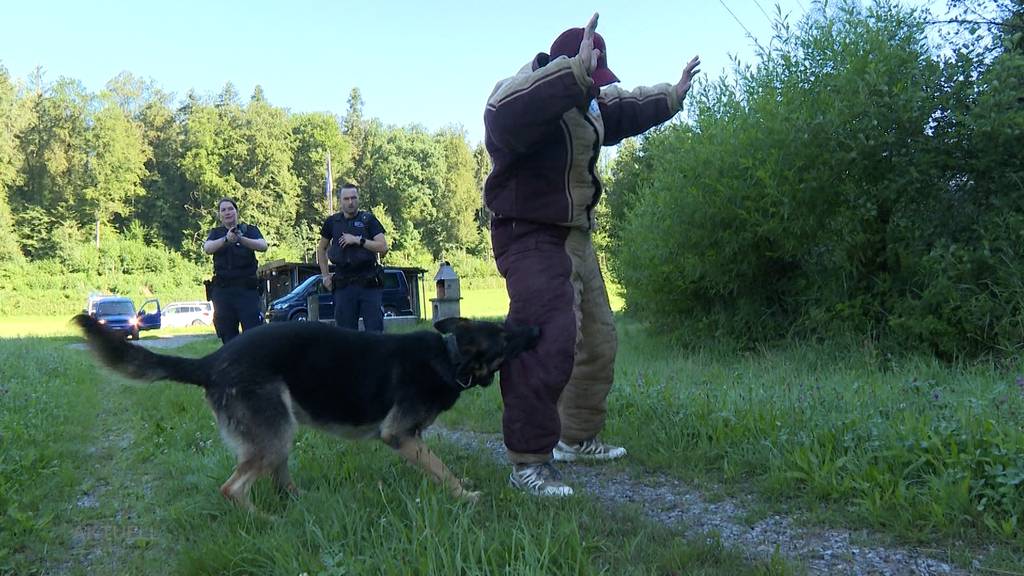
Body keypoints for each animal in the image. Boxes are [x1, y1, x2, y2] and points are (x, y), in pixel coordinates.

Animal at [73, 313, 540, 506]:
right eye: (506, 335)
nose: (536, 329)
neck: (449, 355)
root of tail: (212, 361)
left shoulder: (414, 436)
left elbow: (435, 465)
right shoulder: (399, 434)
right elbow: (441, 469)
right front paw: (465, 497)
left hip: (279, 433)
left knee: (278, 480)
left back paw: (301, 502)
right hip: (274, 434)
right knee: (232, 488)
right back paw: (264, 522)